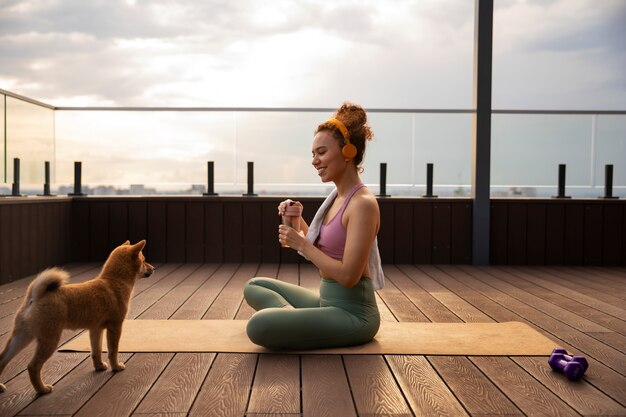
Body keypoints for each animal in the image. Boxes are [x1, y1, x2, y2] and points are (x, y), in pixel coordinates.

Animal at [0, 240, 154, 394]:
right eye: (144, 260)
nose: (153, 268)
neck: (114, 281)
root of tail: (35, 296)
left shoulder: (96, 329)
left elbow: (96, 351)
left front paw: (99, 366)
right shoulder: (115, 328)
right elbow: (113, 351)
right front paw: (116, 366)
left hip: (21, 337)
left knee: (2, 359)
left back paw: (1, 386)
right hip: (49, 340)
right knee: (33, 366)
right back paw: (42, 389)